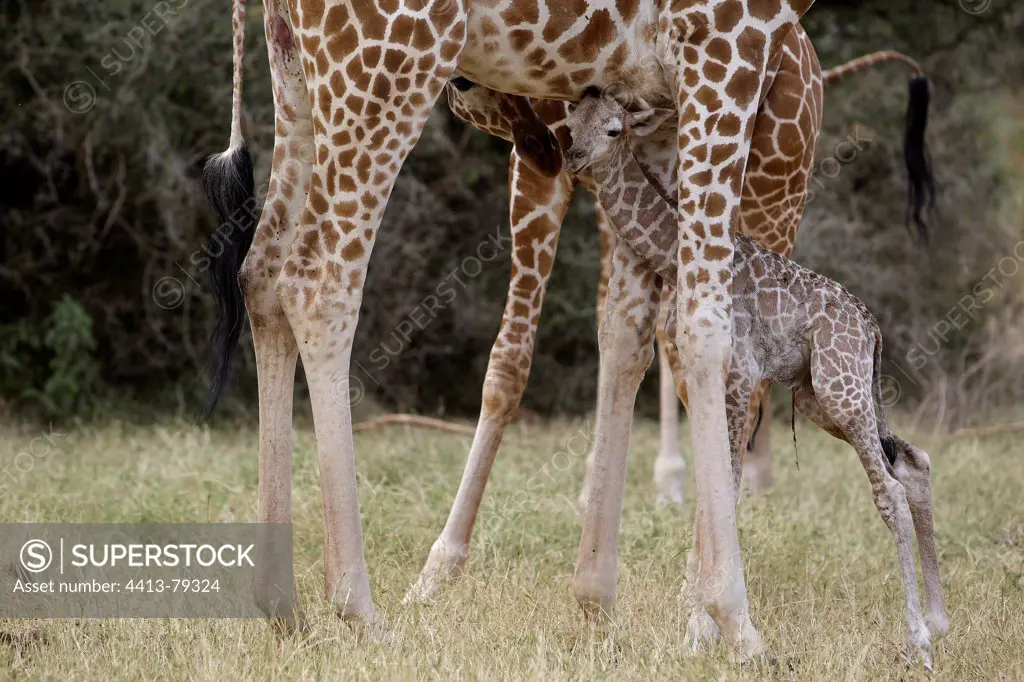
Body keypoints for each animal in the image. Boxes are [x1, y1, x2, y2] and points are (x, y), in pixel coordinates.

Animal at [203, 0, 827, 659]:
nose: (548, 147)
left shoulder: (654, 104)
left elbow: (627, 332)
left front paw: (601, 602)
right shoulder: (724, 46)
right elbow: (705, 334)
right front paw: (731, 621)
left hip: (298, 74)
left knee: (261, 276)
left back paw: (282, 607)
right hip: (392, 61)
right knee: (317, 283)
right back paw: (359, 609)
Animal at [565, 93, 946, 667]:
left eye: (613, 129)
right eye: (570, 126)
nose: (574, 157)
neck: (672, 260)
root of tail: (872, 328)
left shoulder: (739, 376)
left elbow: (728, 486)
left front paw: (705, 629)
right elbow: (711, 489)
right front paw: (699, 630)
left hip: (842, 388)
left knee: (891, 494)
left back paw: (917, 640)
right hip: (820, 398)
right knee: (914, 460)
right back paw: (941, 622)